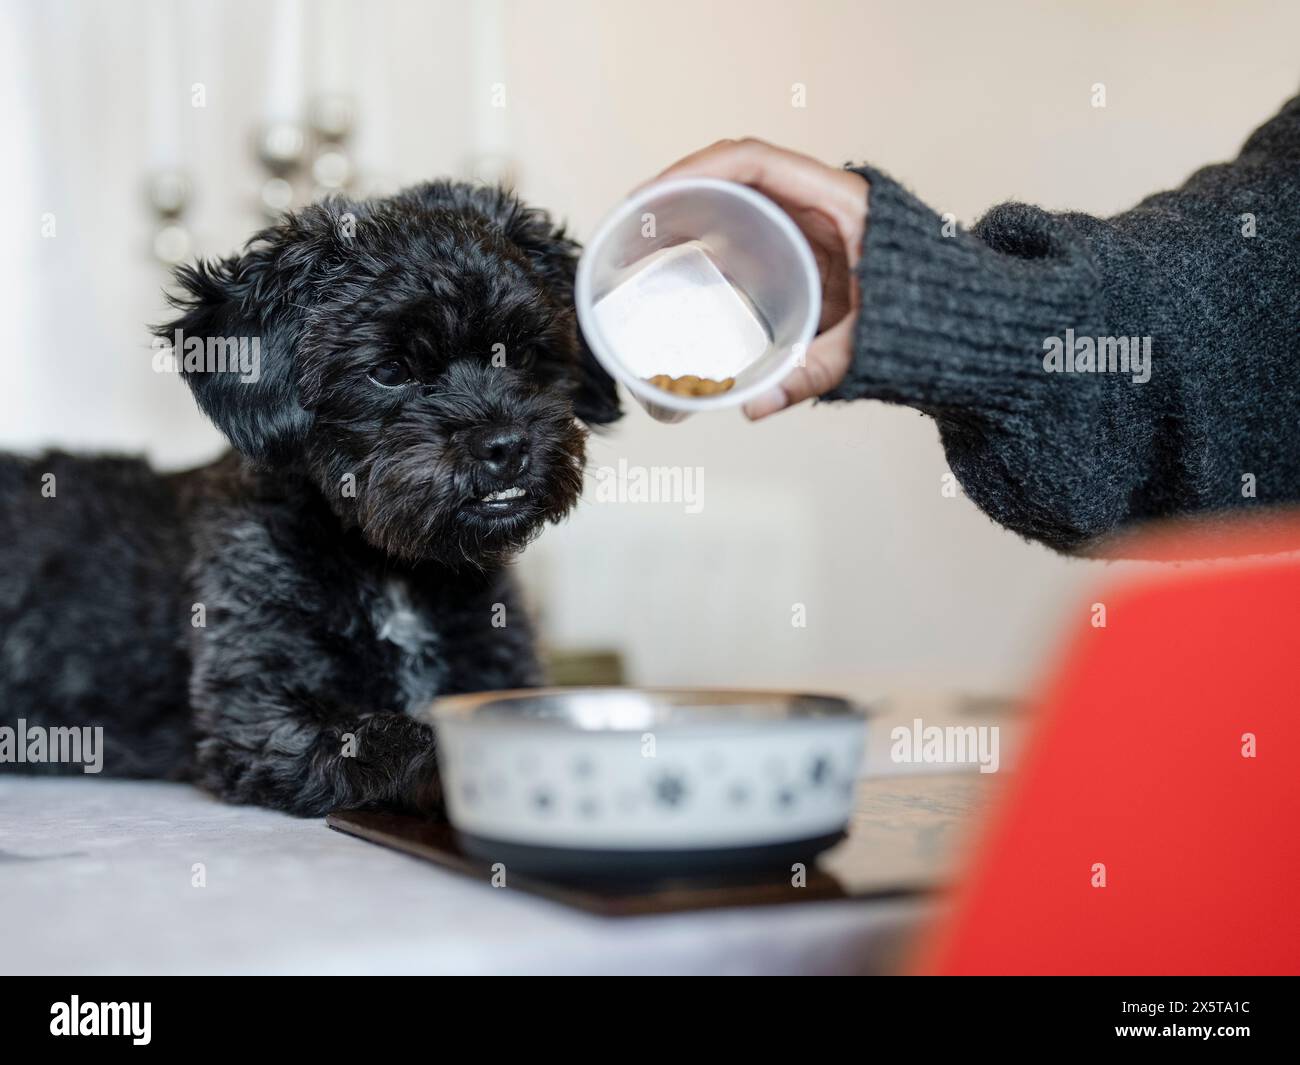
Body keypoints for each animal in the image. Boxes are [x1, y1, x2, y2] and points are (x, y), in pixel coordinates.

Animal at [1, 180, 618, 816]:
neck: (395, 570)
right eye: (389, 371)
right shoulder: (263, 715)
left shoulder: (501, 674)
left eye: (525, 354)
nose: (506, 444)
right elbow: (399, 735)